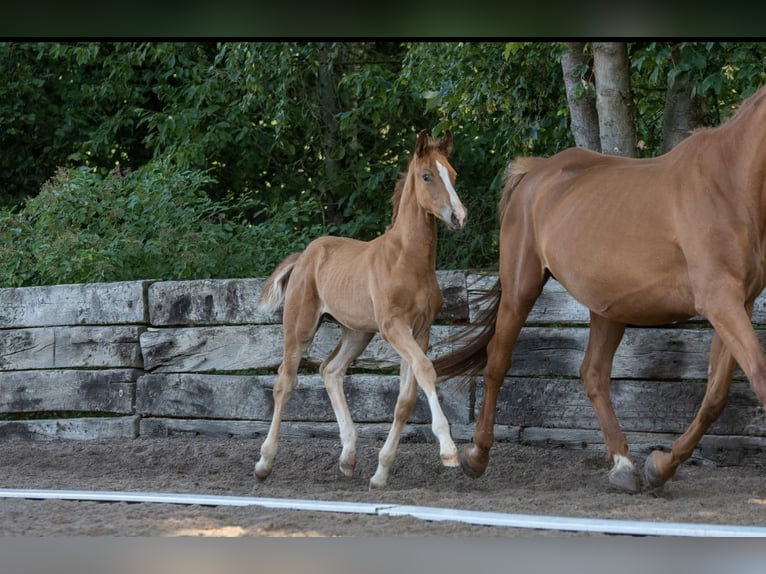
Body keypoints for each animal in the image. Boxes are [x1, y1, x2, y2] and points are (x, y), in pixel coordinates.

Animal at [256, 132, 468, 490]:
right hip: (301, 326)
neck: (407, 261)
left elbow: (406, 399)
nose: (458, 216)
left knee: (330, 370)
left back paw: (348, 458)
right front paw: (449, 451)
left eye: (453, 174)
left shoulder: (420, 330)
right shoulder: (394, 326)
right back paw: (264, 463)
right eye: (427, 176)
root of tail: (304, 256)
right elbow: (427, 371)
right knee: (285, 382)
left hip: (357, 332)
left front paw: (381, 472)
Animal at [436, 85, 766, 496]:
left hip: (608, 308)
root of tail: (535, 173)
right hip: (521, 288)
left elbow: (715, 395)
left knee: (592, 373)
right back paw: (477, 456)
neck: (730, 184)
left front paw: (661, 466)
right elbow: (758, 376)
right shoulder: (720, 302)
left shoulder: (739, 304)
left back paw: (624, 466)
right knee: (498, 361)